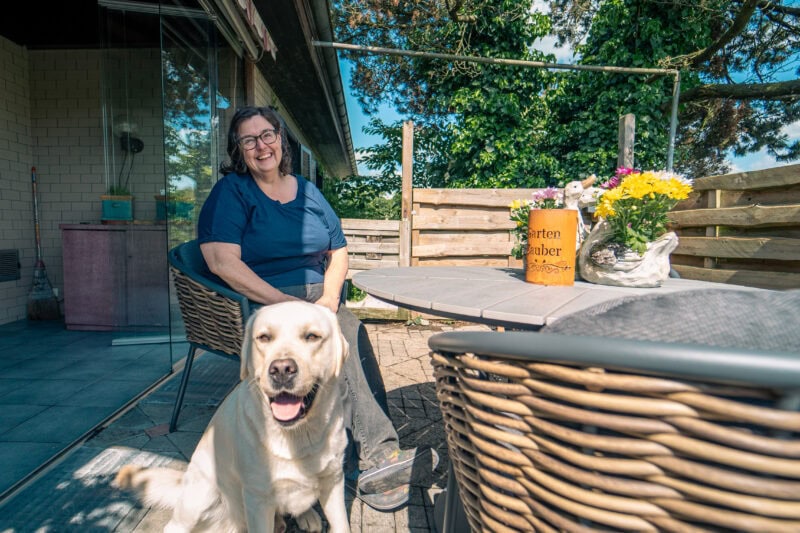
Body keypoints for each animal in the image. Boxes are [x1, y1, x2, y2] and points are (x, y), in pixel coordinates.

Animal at [115, 302, 350, 528]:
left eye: (312, 336)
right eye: (264, 337)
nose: (281, 369)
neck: (298, 436)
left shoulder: (335, 480)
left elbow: (342, 525)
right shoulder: (257, 498)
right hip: (202, 494)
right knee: (174, 524)